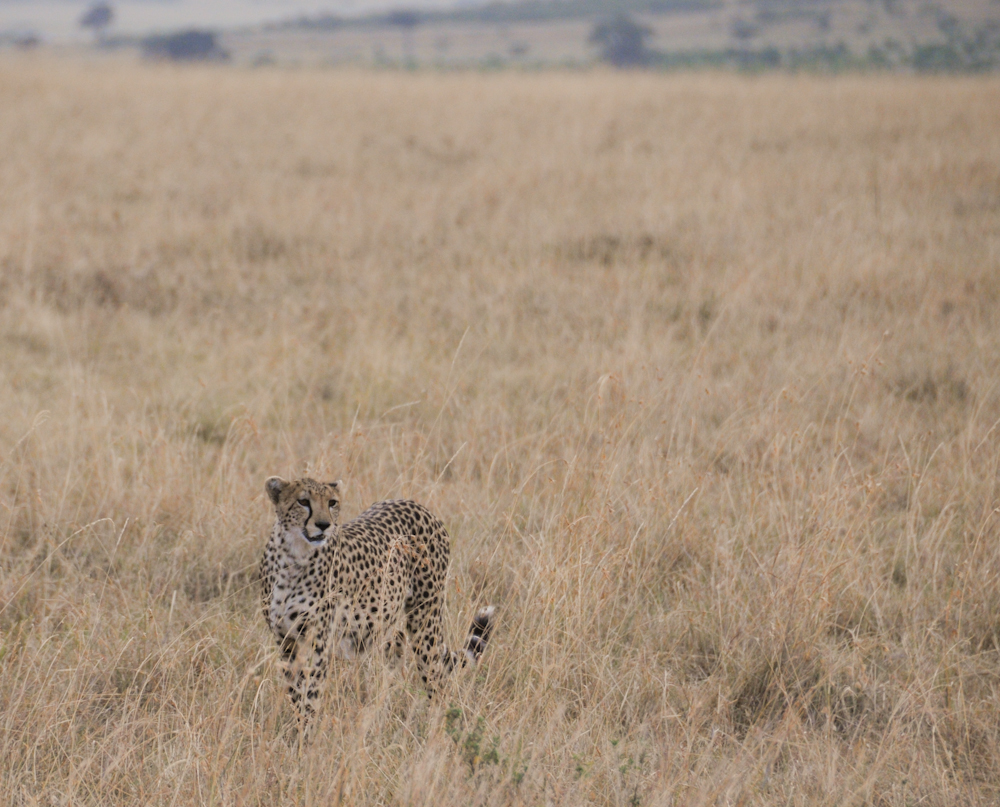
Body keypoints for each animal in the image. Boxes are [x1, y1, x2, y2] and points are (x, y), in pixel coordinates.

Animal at [258, 476, 492, 728]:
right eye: (303, 501)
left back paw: (435, 728)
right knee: (396, 651)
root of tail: (415, 504)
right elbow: (295, 692)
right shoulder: (286, 641)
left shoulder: (317, 642)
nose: (323, 525)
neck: (294, 557)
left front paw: (306, 732)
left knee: (435, 679)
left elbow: (310, 695)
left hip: (424, 621)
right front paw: (298, 729)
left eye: (332, 502)